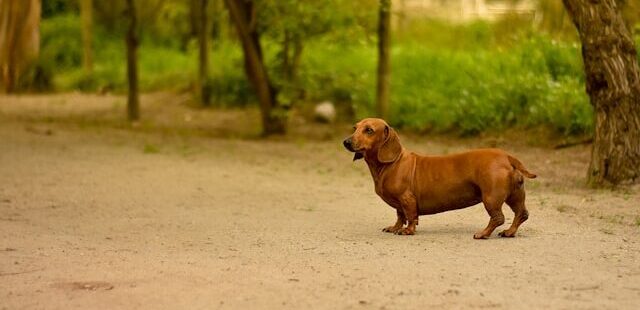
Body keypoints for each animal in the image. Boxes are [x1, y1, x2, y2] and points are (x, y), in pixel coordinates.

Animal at [344, 118, 536, 237]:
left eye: (369, 130)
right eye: (355, 128)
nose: (345, 142)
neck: (391, 163)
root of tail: (507, 157)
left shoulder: (407, 198)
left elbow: (410, 216)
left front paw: (407, 230)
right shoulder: (399, 204)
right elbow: (399, 215)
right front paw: (395, 228)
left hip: (491, 197)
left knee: (498, 218)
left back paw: (483, 234)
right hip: (515, 195)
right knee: (522, 214)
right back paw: (509, 232)